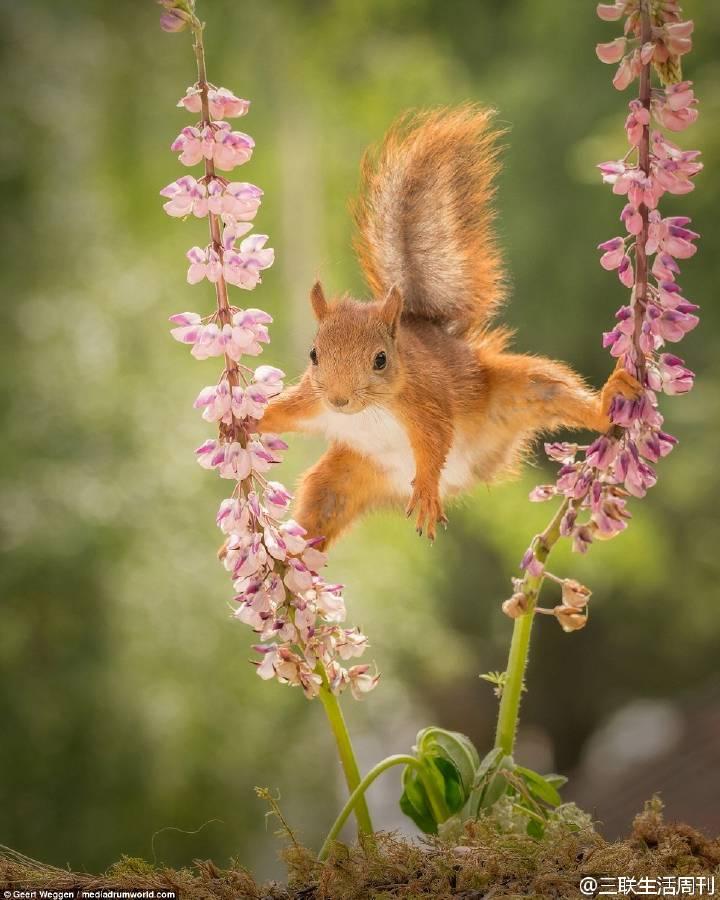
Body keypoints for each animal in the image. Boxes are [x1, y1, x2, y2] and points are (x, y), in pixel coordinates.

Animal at [256, 103, 640, 544]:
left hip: (520, 391)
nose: (339, 400)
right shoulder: (310, 400)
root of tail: (465, 478)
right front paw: (240, 422)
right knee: (321, 505)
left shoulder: (425, 400)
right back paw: (286, 552)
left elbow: (435, 440)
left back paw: (609, 402)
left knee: (556, 393)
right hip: (346, 473)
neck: (371, 411)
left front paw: (425, 490)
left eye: (381, 360)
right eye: (313, 355)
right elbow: (279, 411)